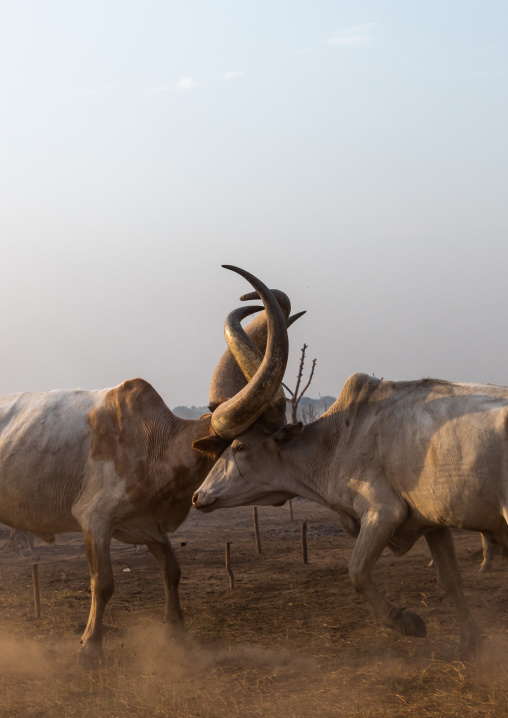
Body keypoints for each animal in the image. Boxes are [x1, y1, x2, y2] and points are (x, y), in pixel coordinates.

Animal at [0, 267, 299, 666]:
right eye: (241, 446)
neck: (156, 441)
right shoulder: (94, 519)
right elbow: (103, 583)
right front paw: (90, 647)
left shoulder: (148, 526)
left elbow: (173, 570)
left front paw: (177, 634)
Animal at [193, 279, 508, 657]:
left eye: (240, 446)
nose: (198, 496)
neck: (339, 438)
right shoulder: (433, 522)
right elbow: (449, 580)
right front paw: (468, 643)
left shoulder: (383, 512)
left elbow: (356, 572)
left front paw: (408, 622)